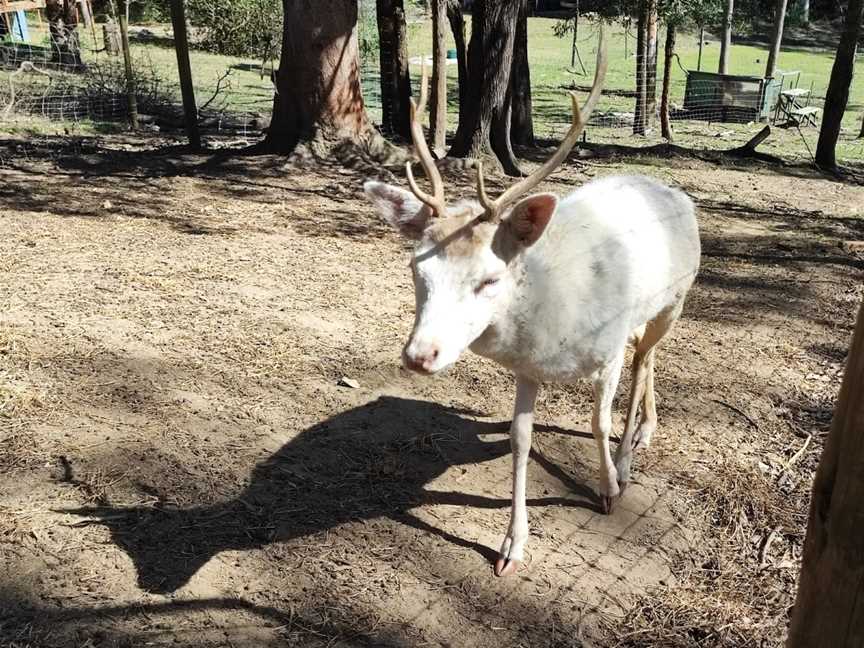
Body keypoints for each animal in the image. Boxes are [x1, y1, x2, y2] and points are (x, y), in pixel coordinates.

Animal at [362, 33, 700, 576]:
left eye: (489, 278)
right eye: (416, 268)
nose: (419, 355)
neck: (553, 327)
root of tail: (674, 191)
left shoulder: (607, 351)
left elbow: (599, 421)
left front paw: (608, 488)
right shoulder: (526, 368)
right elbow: (521, 441)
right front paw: (511, 545)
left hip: (677, 298)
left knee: (644, 359)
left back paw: (630, 454)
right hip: (647, 316)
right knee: (649, 356)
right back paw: (647, 430)